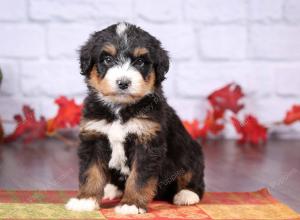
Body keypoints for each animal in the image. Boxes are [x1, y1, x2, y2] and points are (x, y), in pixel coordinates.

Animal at [66, 22, 205, 215]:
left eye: (139, 62)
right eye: (107, 59)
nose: (123, 83)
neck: (120, 109)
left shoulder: (147, 143)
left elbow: (139, 178)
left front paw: (131, 204)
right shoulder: (94, 137)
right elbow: (91, 172)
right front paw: (85, 200)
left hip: (190, 152)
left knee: (193, 177)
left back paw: (186, 195)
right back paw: (111, 189)